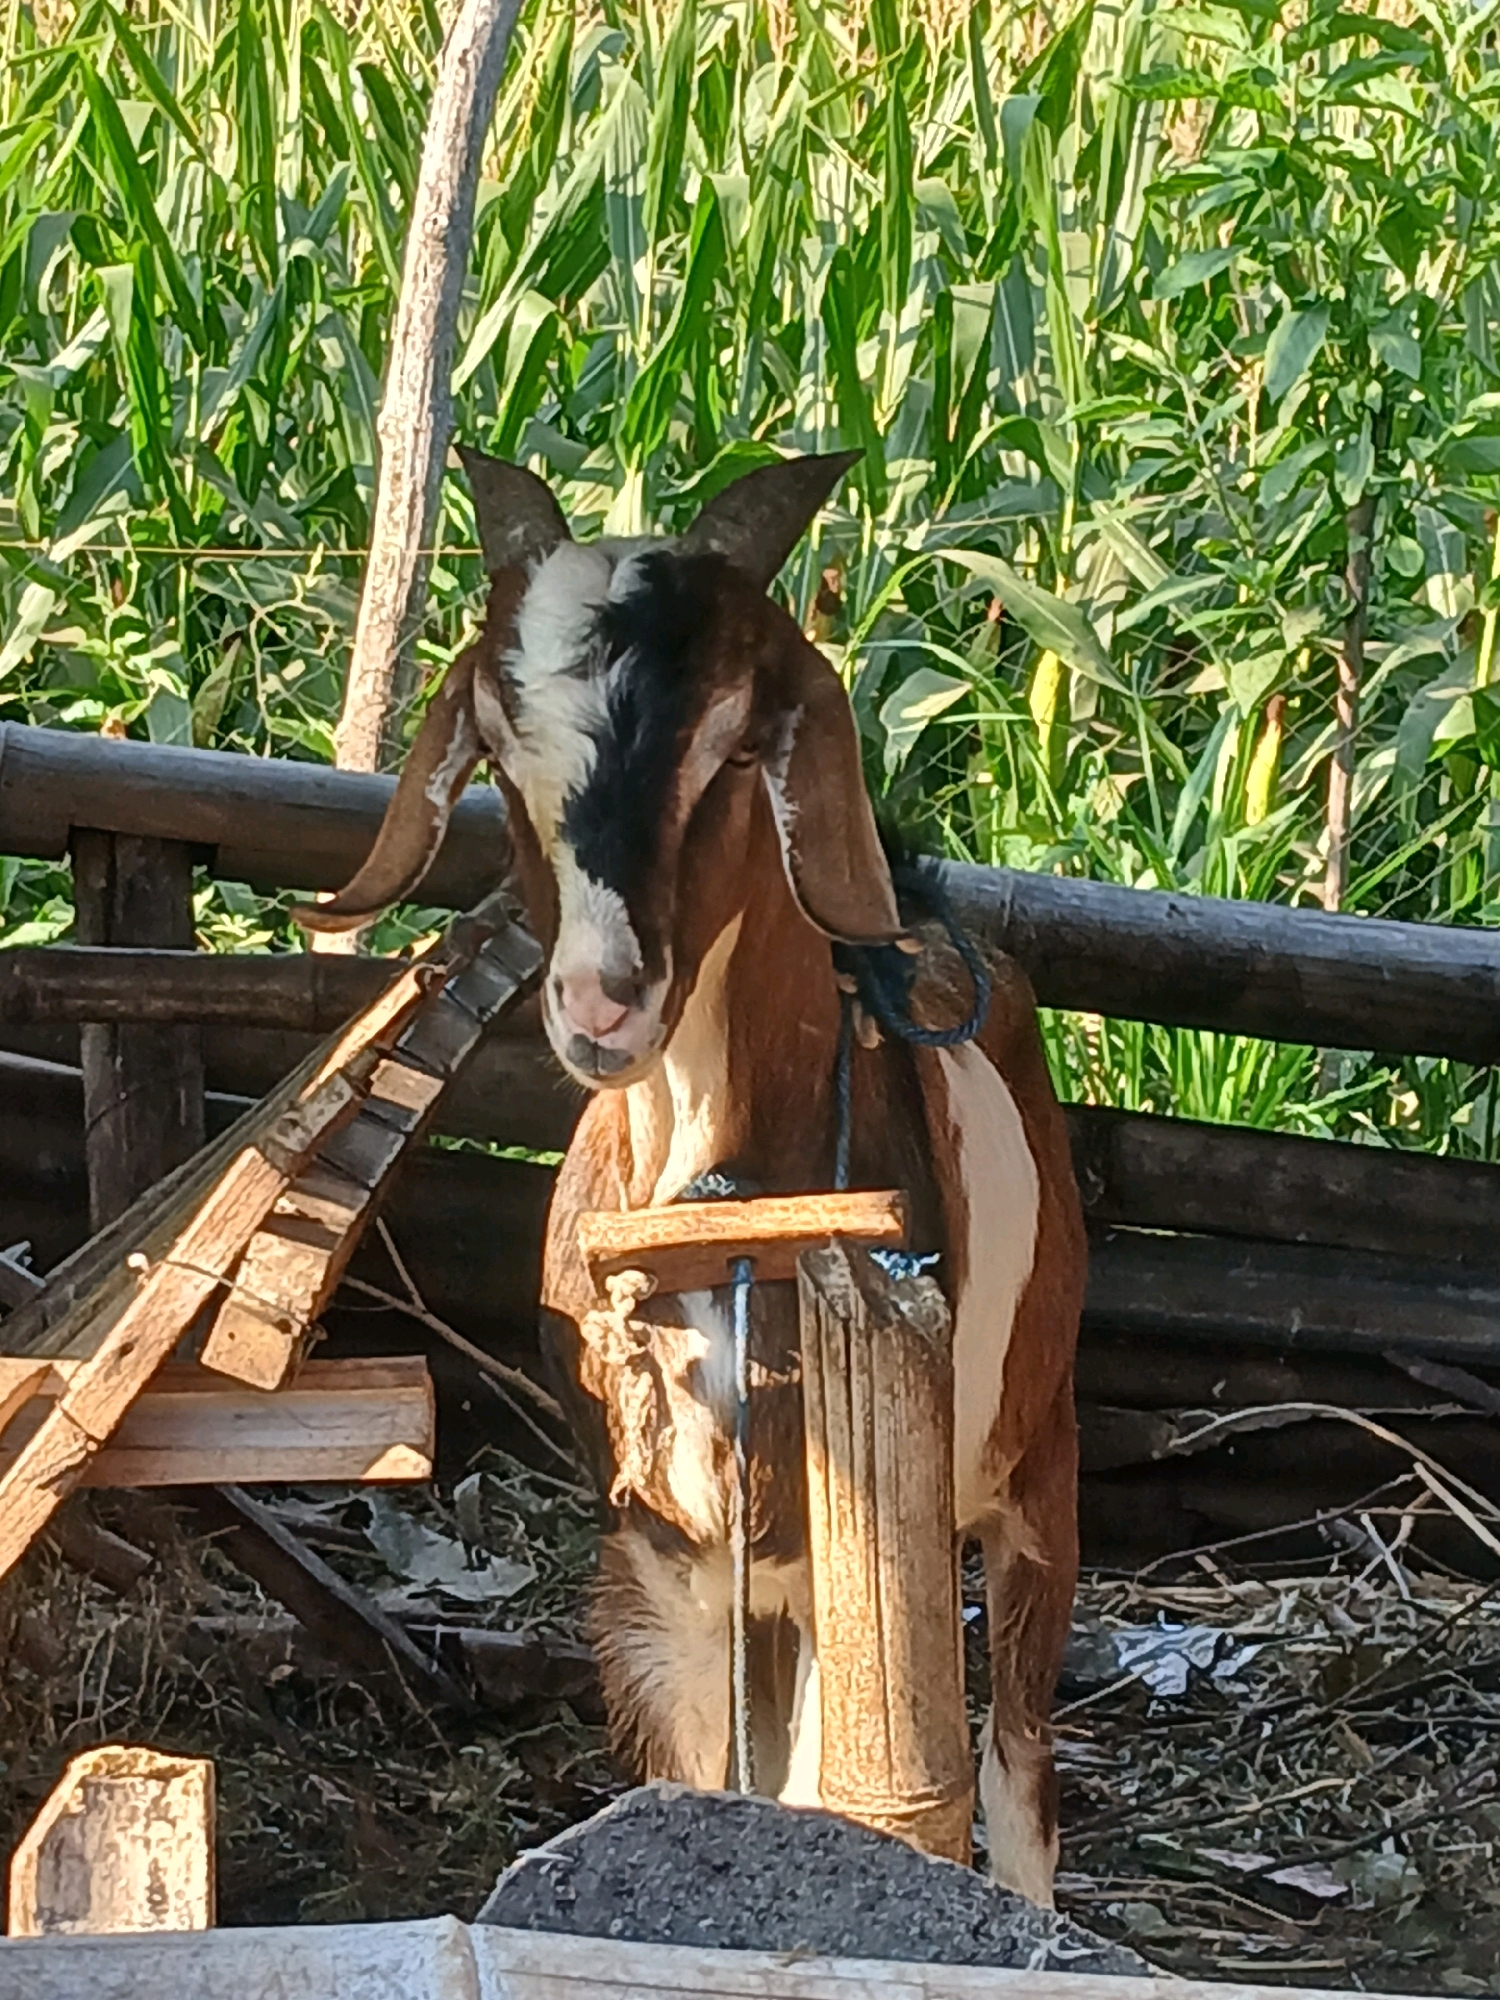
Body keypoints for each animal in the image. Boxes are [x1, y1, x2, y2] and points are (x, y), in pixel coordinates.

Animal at [302, 449, 1085, 1904]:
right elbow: (713, 1785)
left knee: (1017, 1743)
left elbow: (864, 1788)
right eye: (499, 755)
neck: (714, 1210)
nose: (601, 1002)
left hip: (1036, 1446)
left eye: (735, 747)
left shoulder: (847, 1539)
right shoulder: (662, 1559)